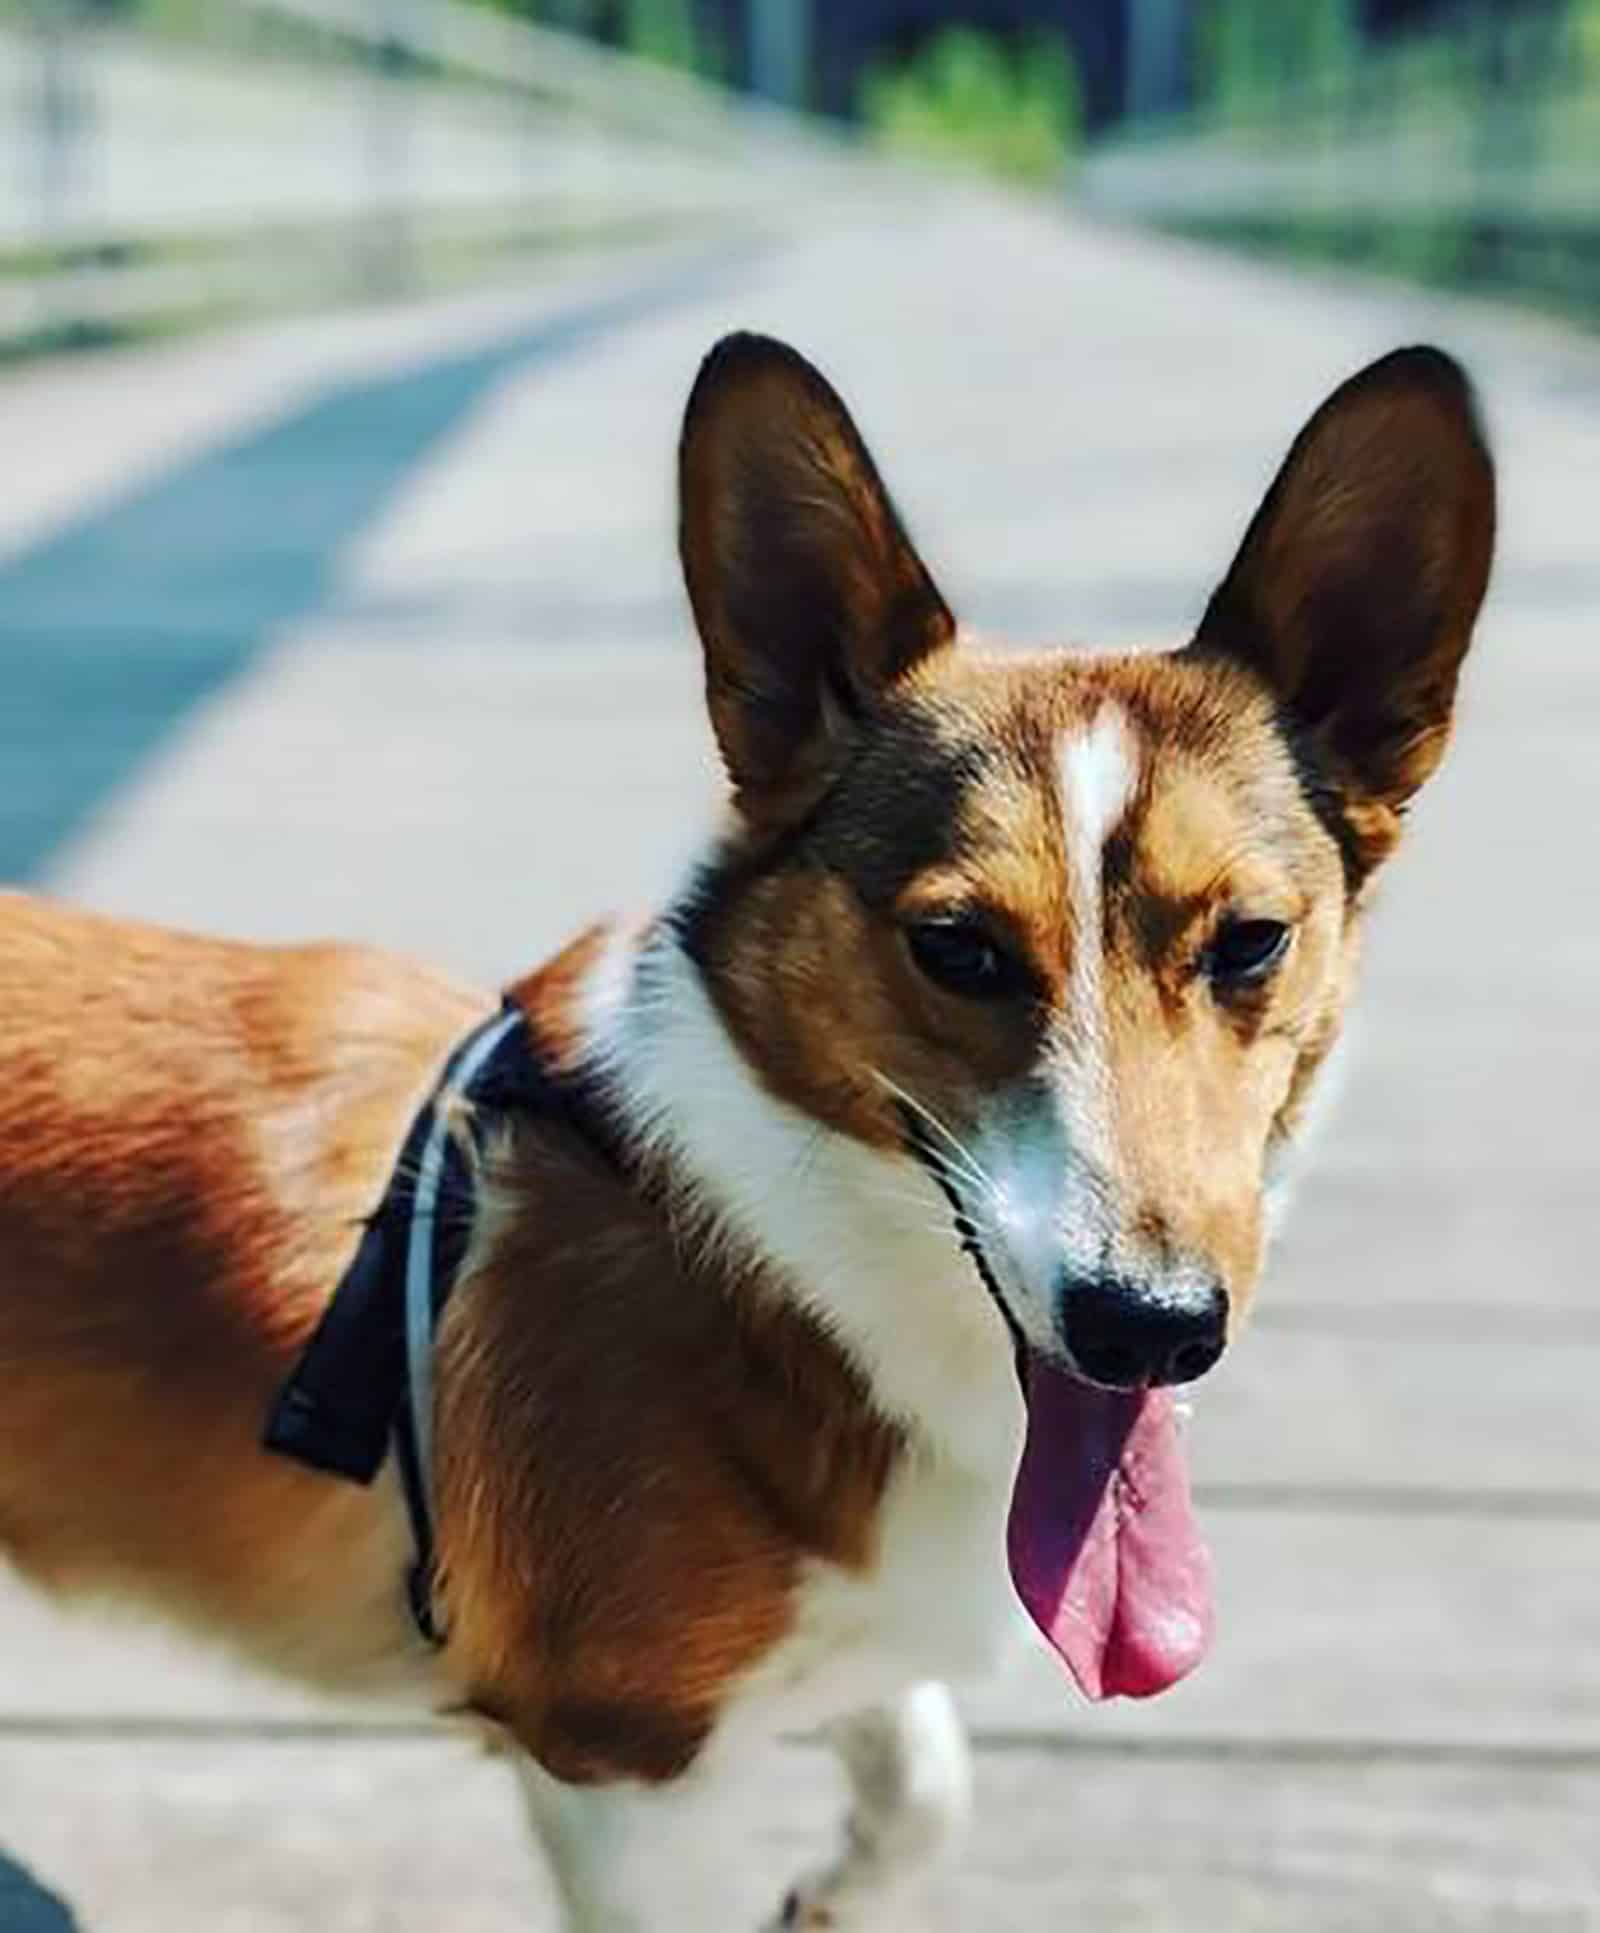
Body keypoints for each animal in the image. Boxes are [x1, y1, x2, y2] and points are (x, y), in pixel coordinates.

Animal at [0, 336, 1491, 1933]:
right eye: (957, 949)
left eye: (1252, 942)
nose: (1148, 1329)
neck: (772, 1257)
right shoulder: (625, 1765)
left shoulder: (833, 1642)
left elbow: (925, 1783)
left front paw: (830, 1894)